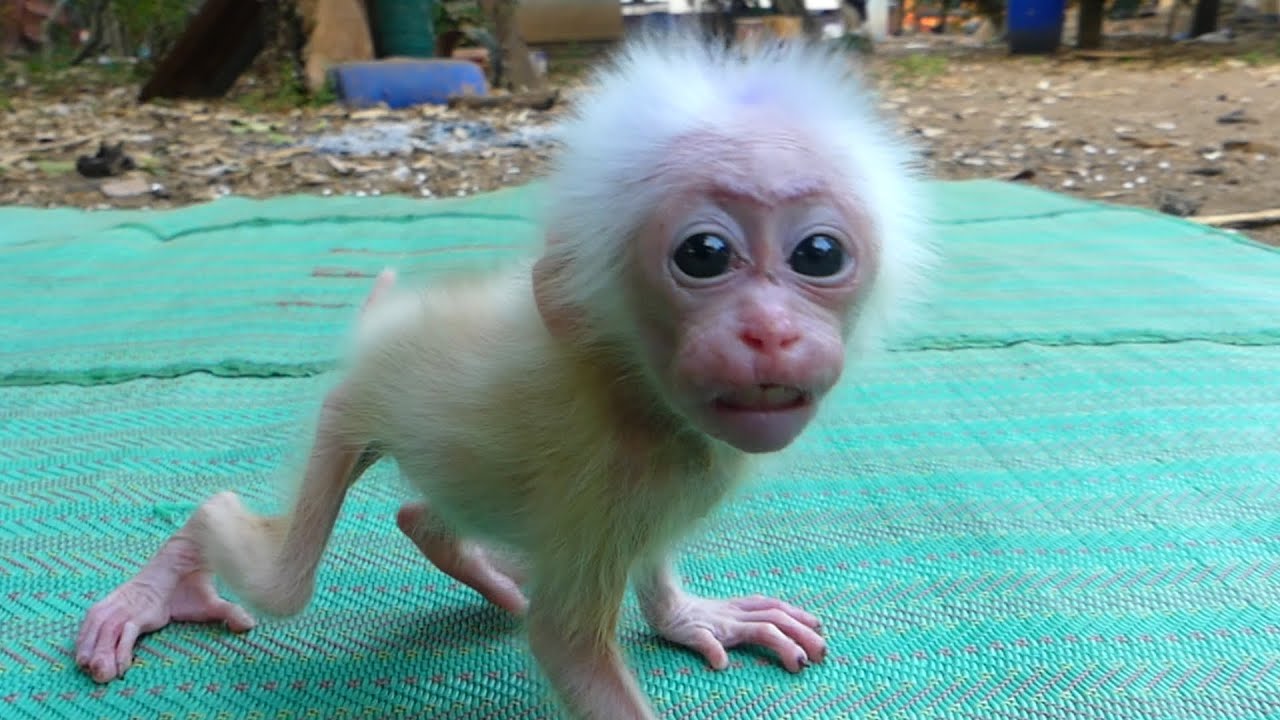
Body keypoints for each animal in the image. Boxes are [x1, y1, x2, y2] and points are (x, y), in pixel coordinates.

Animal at [73, 31, 933, 719]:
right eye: (704, 255)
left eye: (818, 254)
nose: (770, 331)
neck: (640, 396)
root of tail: (385, 322)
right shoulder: (611, 484)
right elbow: (564, 643)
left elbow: (647, 564)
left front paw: (690, 617)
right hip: (352, 405)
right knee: (279, 577)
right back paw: (177, 567)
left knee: (423, 516)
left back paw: (470, 558)